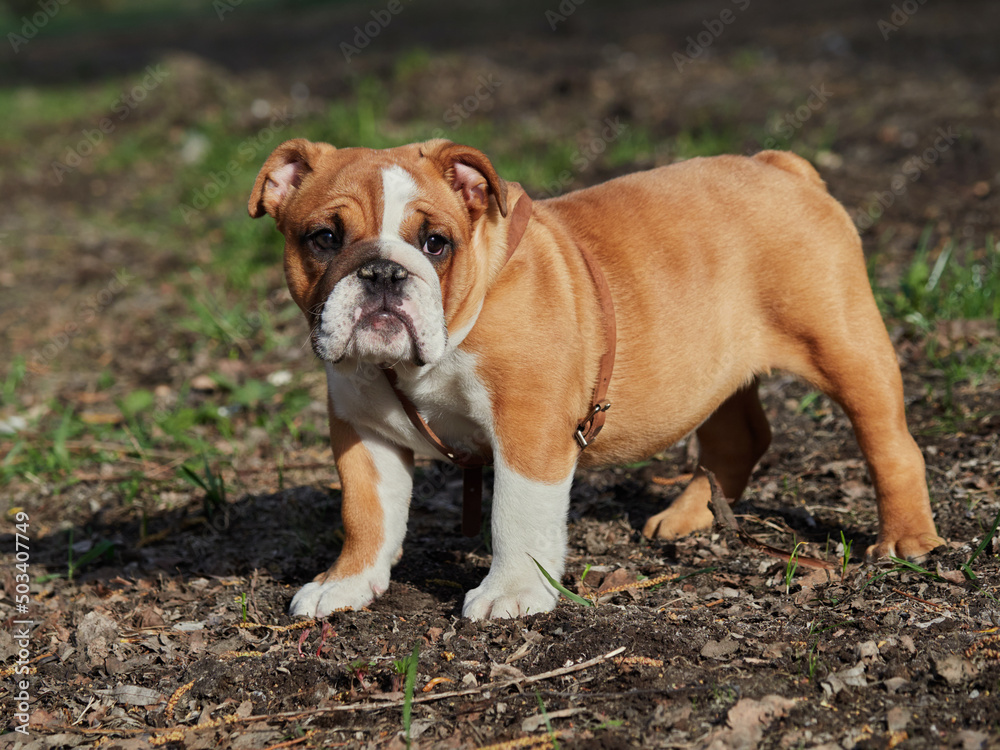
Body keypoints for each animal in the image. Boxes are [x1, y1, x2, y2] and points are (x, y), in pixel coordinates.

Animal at [246, 141, 940, 624]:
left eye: (436, 242)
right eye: (324, 238)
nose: (384, 272)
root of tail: (783, 167)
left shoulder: (528, 424)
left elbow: (515, 512)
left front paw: (512, 593)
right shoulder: (362, 429)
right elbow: (366, 512)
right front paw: (346, 582)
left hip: (845, 346)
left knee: (890, 443)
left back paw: (906, 539)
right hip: (714, 366)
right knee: (737, 438)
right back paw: (686, 517)